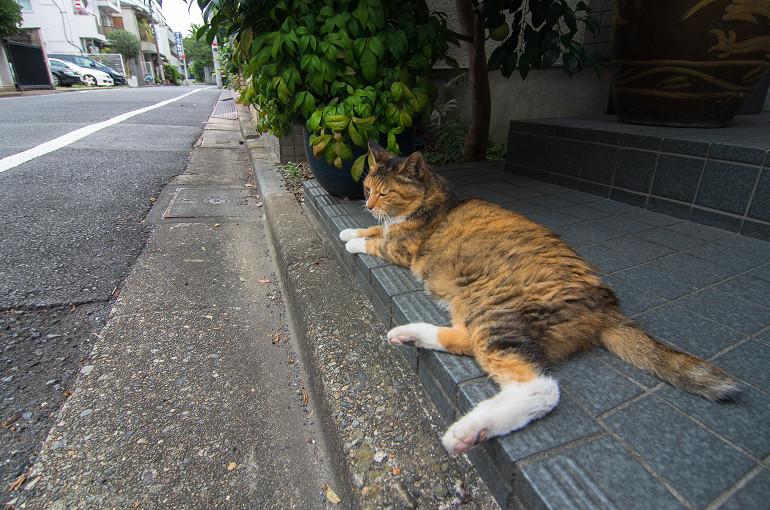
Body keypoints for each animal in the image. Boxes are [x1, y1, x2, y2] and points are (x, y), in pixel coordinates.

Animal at [340, 140, 736, 454]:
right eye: (367, 187)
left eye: (385, 193)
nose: (367, 203)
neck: (436, 202)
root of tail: (607, 306)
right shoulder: (389, 229)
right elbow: (374, 229)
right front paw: (350, 228)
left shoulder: (402, 249)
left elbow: (376, 241)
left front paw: (351, 241)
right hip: (476, 309)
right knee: (467, 342)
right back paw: (407, 335)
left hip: (497, 311)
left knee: (540, 388)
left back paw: (468, 431)